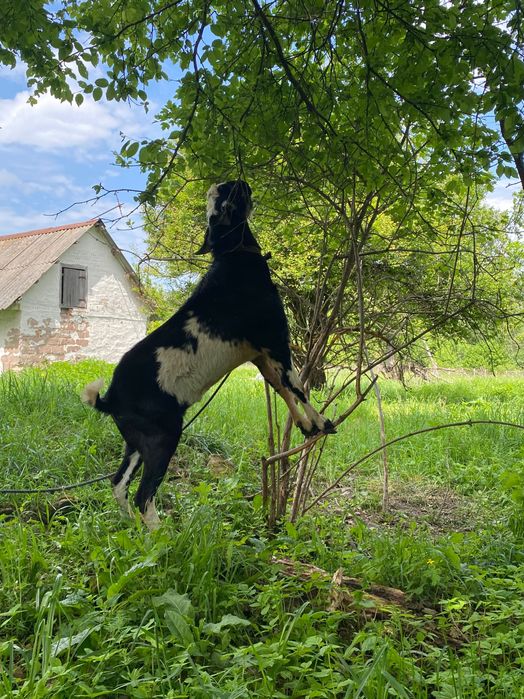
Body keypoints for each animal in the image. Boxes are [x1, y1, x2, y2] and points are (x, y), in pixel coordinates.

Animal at [83, 180, 335, 528]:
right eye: (228, 194)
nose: (240, 182)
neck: (234, 260)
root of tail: (111, 399)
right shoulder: (275, 341)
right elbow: (297, 385)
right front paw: (322, 423)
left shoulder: (257, 355)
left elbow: (280, 388)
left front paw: (305, 426)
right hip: (162, 437)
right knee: (143, 495)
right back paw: (161, 536)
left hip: (135, 442)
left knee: (119, 485)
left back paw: (132, 527)